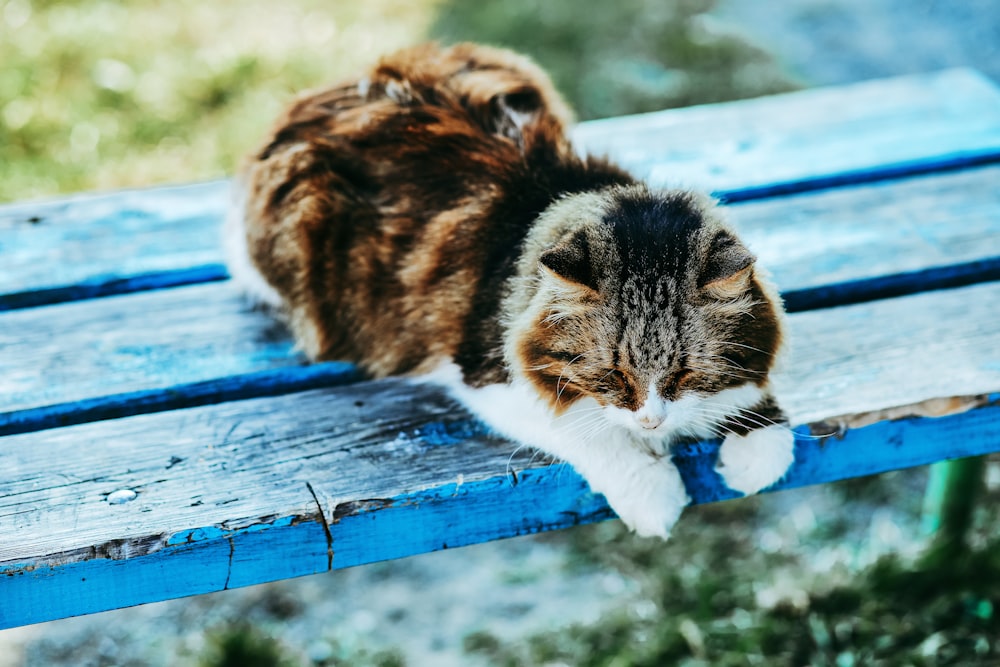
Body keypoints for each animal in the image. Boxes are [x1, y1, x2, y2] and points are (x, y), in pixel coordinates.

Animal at [223, 41, 792, 540]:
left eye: (684, 374)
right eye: (612, 375)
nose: (651, 422)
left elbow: (765, 425)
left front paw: (748, 454)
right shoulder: (487, 376)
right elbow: (592, 432)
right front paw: (656, 497)